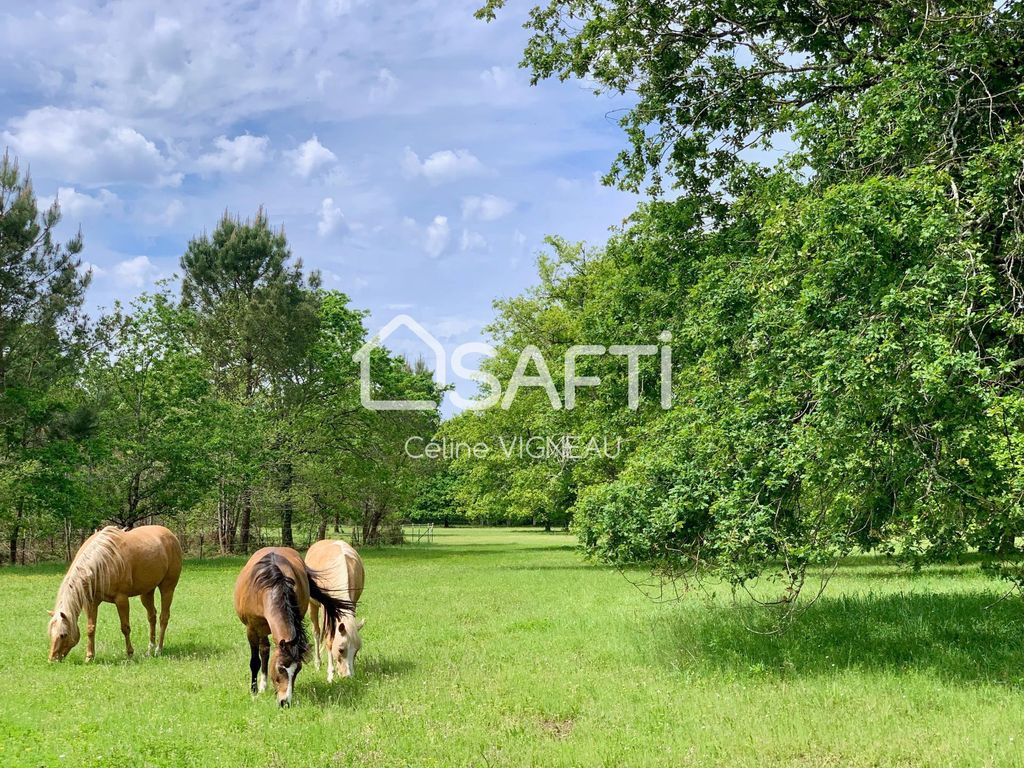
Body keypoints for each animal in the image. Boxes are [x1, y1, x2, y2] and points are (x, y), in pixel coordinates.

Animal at [48, 528, 183, 663]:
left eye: (63, 635)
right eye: (50, 634)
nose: (52, 659)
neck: (101, 562)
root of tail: (170, 535)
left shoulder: (121, 599)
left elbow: (125, 628)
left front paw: (130, 653)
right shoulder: (91, 602)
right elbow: (91, 628)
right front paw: (89, 656)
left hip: (167, 589)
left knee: (163, 617)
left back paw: (158, 650)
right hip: (147, 592)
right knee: (152, 616)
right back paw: (150, 649)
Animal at [234, 548, 354, 708]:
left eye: (297, 670)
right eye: (280, 668)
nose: (285, 702)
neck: (268, 588)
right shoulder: (252, 629)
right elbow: (255, 661)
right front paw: (253, 692)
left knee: (265, 650)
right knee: (264, 651)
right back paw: (262, 685)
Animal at [305, 540, 366, 679]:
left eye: (356, 650)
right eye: (341, 649)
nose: (348, 676)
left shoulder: (351, 604)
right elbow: (328, 639)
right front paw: (330, 675)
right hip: (312, 605)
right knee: (316, 632)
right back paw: (318, 663)